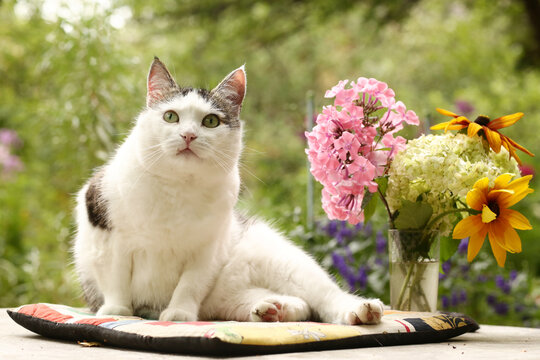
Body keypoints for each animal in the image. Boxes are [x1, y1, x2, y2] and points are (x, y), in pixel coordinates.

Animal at [71, 57, 384, 324]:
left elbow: (189, 285)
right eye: (170, 117)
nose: (188, 135)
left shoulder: (208, 249)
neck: (178, 188)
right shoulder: (105, 233)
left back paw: (361, 311)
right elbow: (115, 279)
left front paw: (179, 314)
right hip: (231, 298)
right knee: (300, 306)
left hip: (288, 263)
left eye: (210, 121)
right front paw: (116, 310)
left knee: (326, 298)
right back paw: (273, 308)